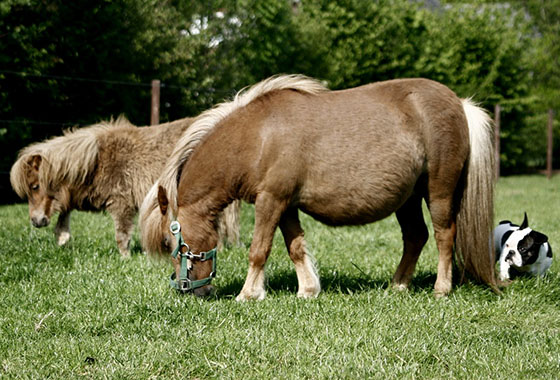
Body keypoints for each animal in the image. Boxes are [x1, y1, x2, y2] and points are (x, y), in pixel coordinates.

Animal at [9, 117, 241, 256]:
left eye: (35, 186)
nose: (36, 221)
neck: (96, 161)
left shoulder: (121, 201)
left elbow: (121, 235)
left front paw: (125, 257)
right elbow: (65, 211)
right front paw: (62, 238)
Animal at [142, 74, 496, 298]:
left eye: (170, 242)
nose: (190, 291)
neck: (256, 137)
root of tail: (460, 103)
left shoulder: (271, 201)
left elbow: (259, 250)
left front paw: (248, 294)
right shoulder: (284, 205)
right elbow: (295, 247)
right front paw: (308, 290)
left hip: (438, 190)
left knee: (443, 235)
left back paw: (441, 288)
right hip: (407, 199)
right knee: (415, 237)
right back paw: (397, 286)